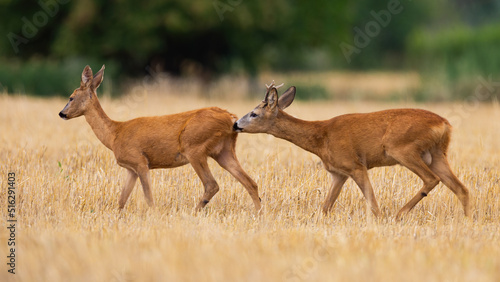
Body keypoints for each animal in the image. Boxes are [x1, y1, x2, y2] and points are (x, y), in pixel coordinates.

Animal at [58, 65, 262, 212]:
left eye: (71, 97)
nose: (61, 113)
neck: (114, 134)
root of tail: (231, 118)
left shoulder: (140, 161)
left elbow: (148, 197)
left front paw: (154, 216)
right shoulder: (130, 169)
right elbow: (121, 200)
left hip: (194, 147)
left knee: (212, 184)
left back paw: (193, 212)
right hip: (224, 150)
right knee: (250, 182)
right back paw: (258, 214)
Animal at [232, 81, 470, 218]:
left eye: (253, 113)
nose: (235, 124)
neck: (321, 137)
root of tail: (445, 124)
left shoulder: (355, 165)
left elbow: (373, 205)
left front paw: (380, 219)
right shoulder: (339, 173)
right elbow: (325, 207)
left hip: (403, 149)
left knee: (431, 179)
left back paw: (399, 214)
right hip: (437, 154)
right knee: (461, 188)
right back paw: (467, 220)